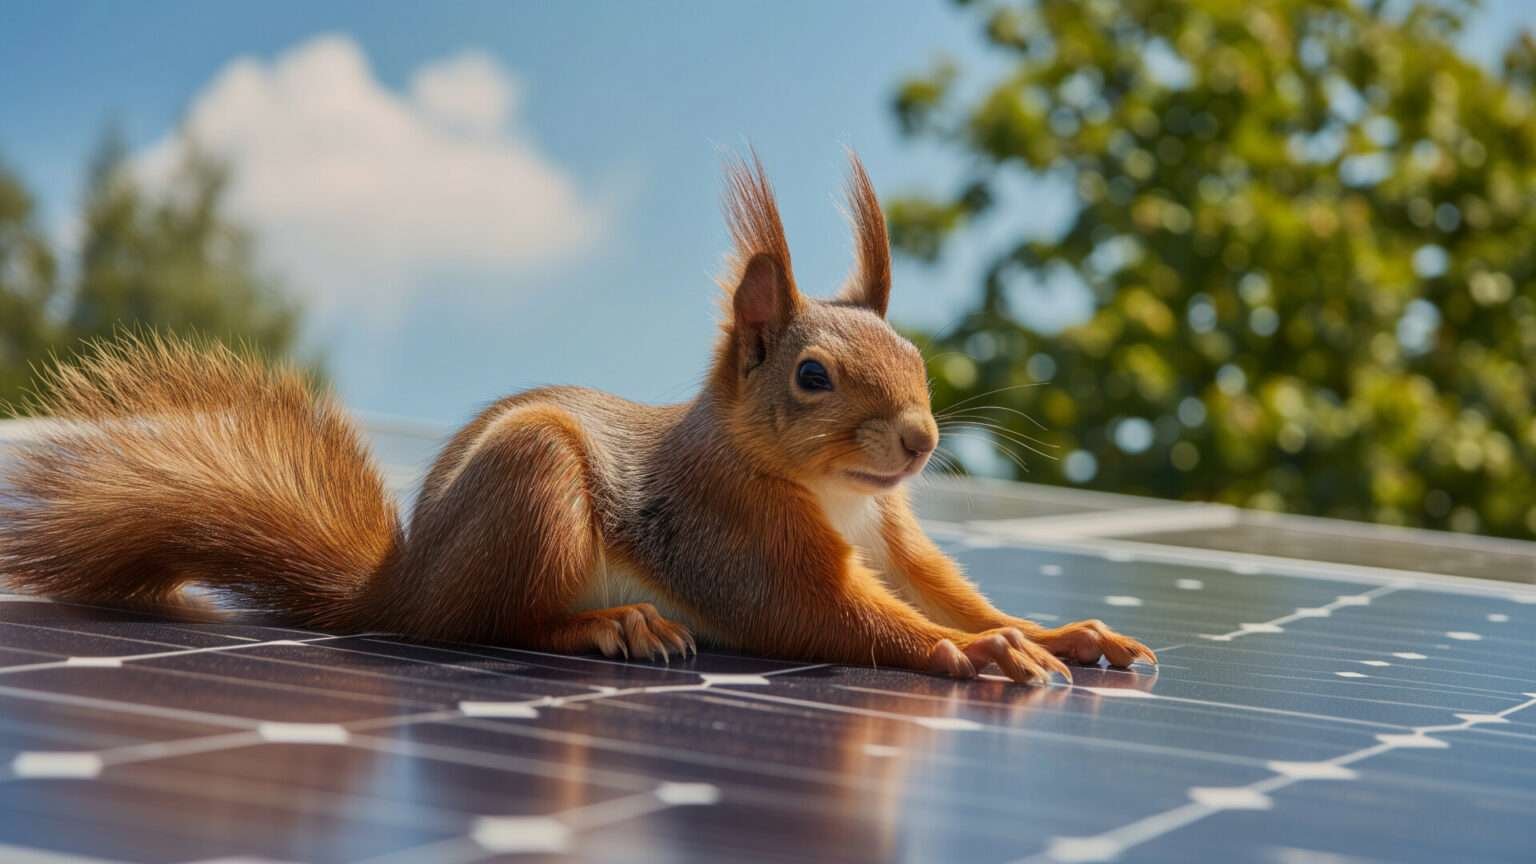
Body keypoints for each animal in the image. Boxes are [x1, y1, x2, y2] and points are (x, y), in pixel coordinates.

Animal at [0, 152, 1154, 686]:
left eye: (915, 359)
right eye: (813, 377)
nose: (919, 441)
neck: (835, 493)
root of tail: (401, 587)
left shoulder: (897, 535)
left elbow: (943, 590)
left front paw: (1055, 631)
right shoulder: (740, 540)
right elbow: (841, 617)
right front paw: (988, 653)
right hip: (536, 487)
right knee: (489, 626)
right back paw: (614, 626)